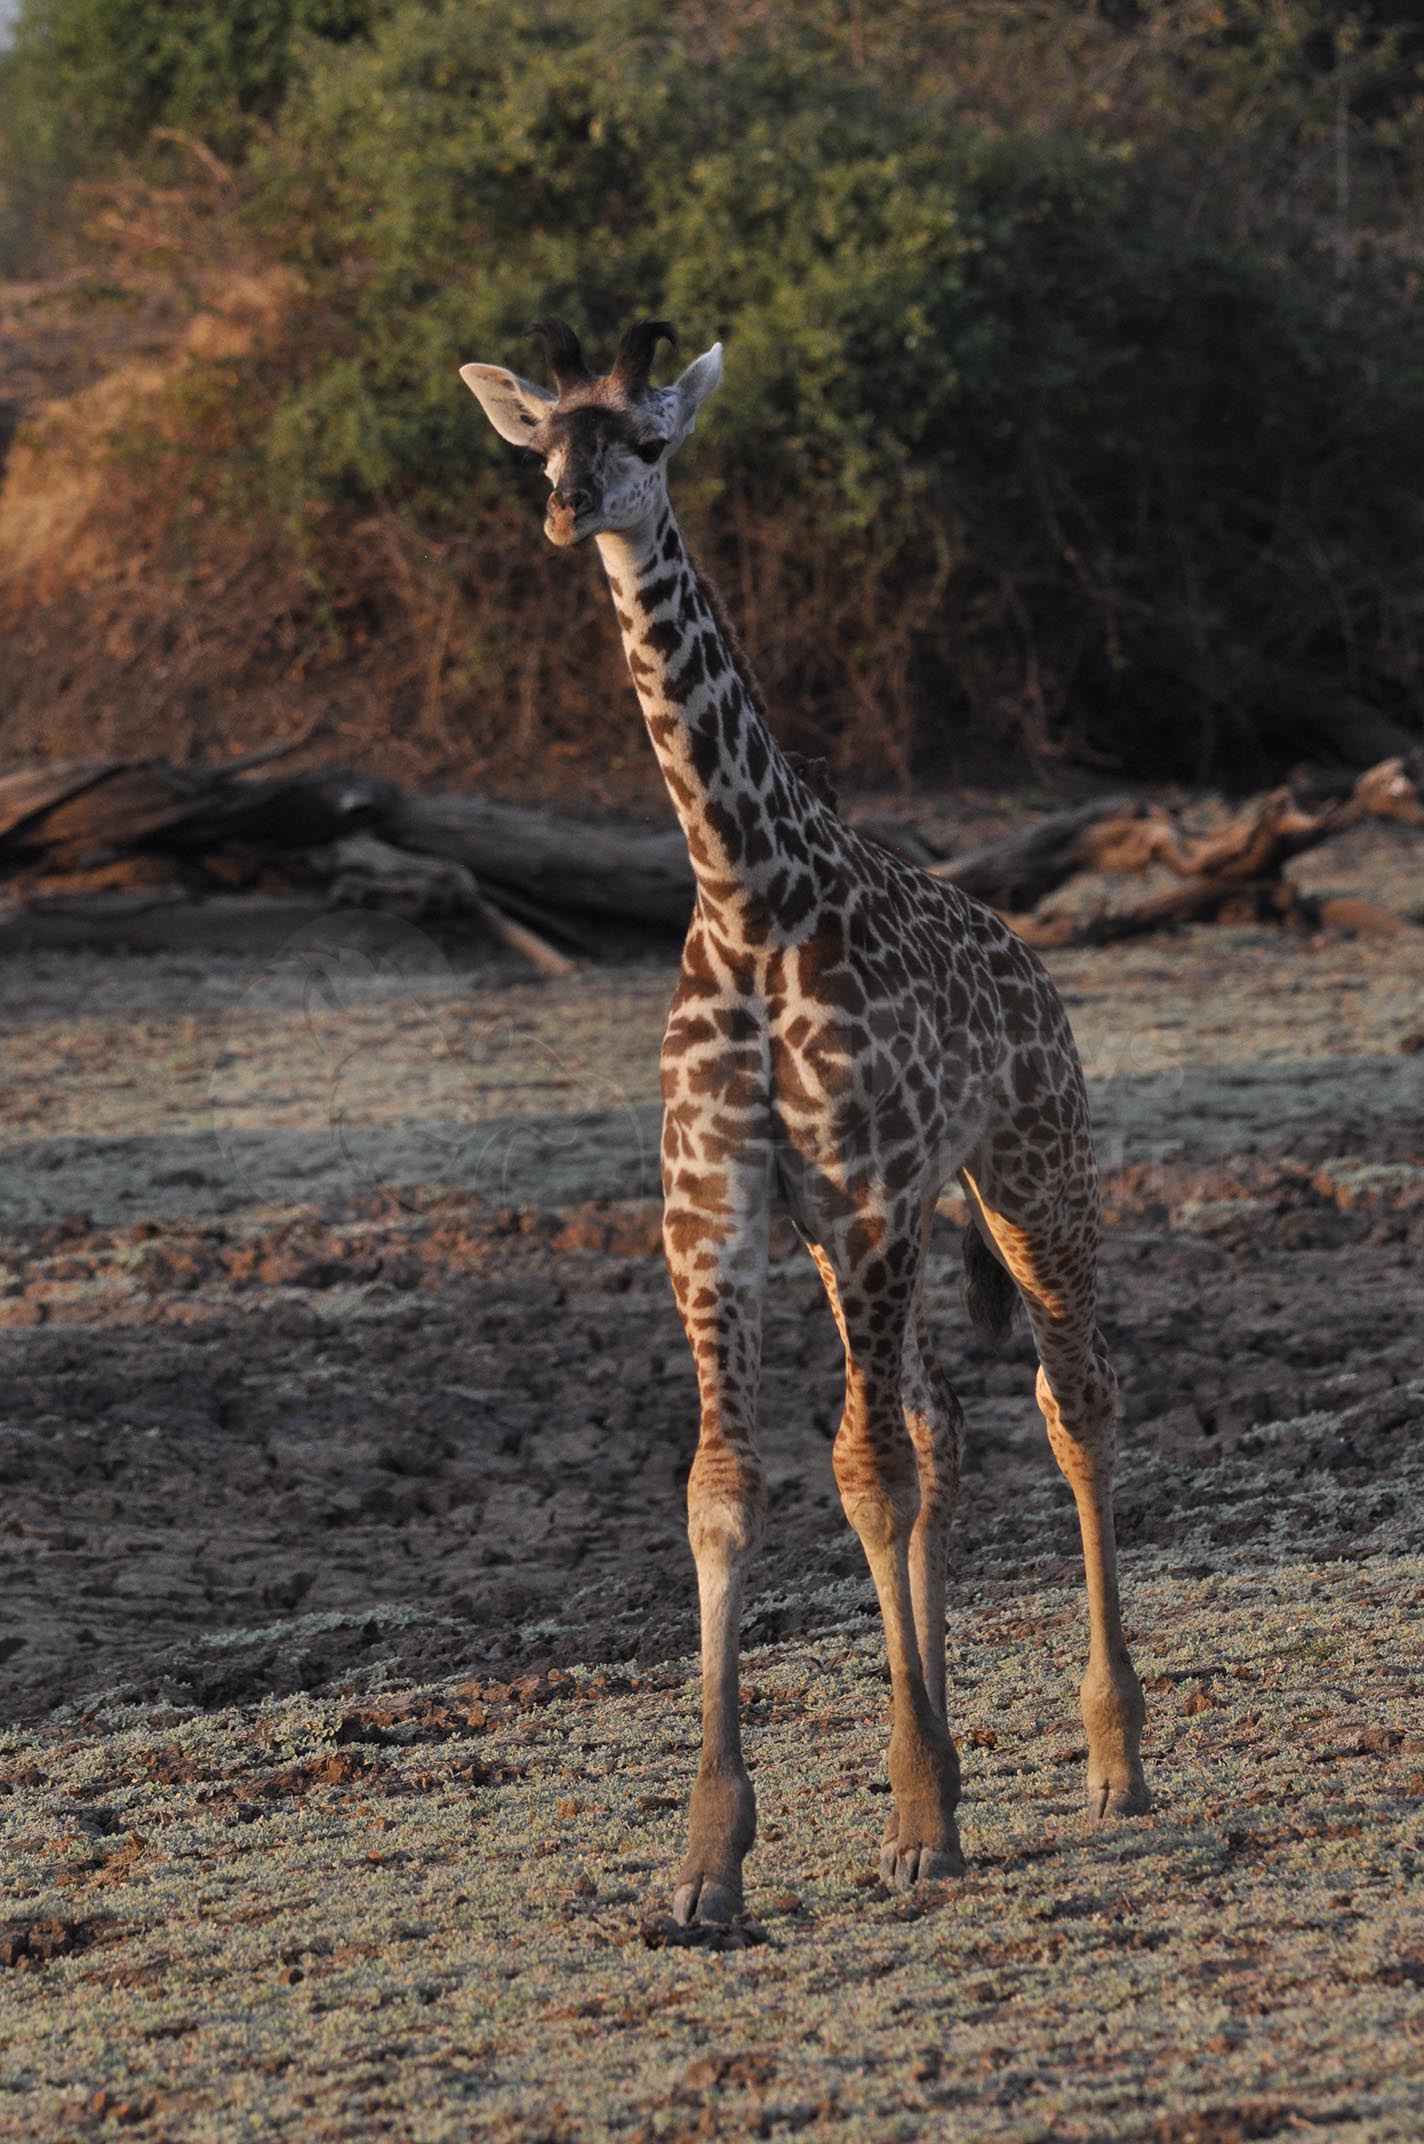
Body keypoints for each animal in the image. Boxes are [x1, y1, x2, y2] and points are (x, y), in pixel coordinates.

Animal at [461, 313, 1149, 1929]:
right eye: (543, 443)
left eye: (648, 441)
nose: (569, 510)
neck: (746, 890)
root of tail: (1033, 963)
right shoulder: (717, 1211)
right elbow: (732, 1489)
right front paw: (712, 1860)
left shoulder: (869, 1186)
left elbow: (865, 1476)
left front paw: (916, 1819)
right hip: (874, 1233)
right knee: (939, 1424)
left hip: (1029, 1170)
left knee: (1068, 1402)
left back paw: (1117, 1763)